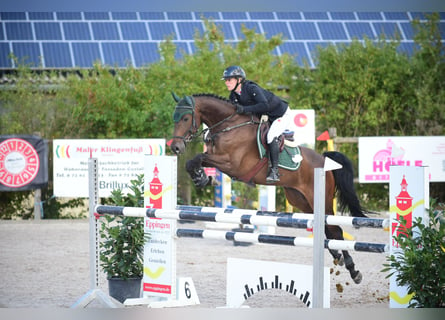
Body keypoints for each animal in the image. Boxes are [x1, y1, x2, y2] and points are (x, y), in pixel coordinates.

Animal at [168, 92, 366, 282]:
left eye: (185, 118)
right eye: (175, 117)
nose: (176, 148)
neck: (229, 126)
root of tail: (325, 160)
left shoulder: (232, 164)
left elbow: (198, 157)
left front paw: (202, 178)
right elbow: (193, 162)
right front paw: (201, 178)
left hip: (321, 199)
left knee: (335, 229)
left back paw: (353, 270)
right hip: (301, 200)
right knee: (326, 228)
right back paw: (338, 256)